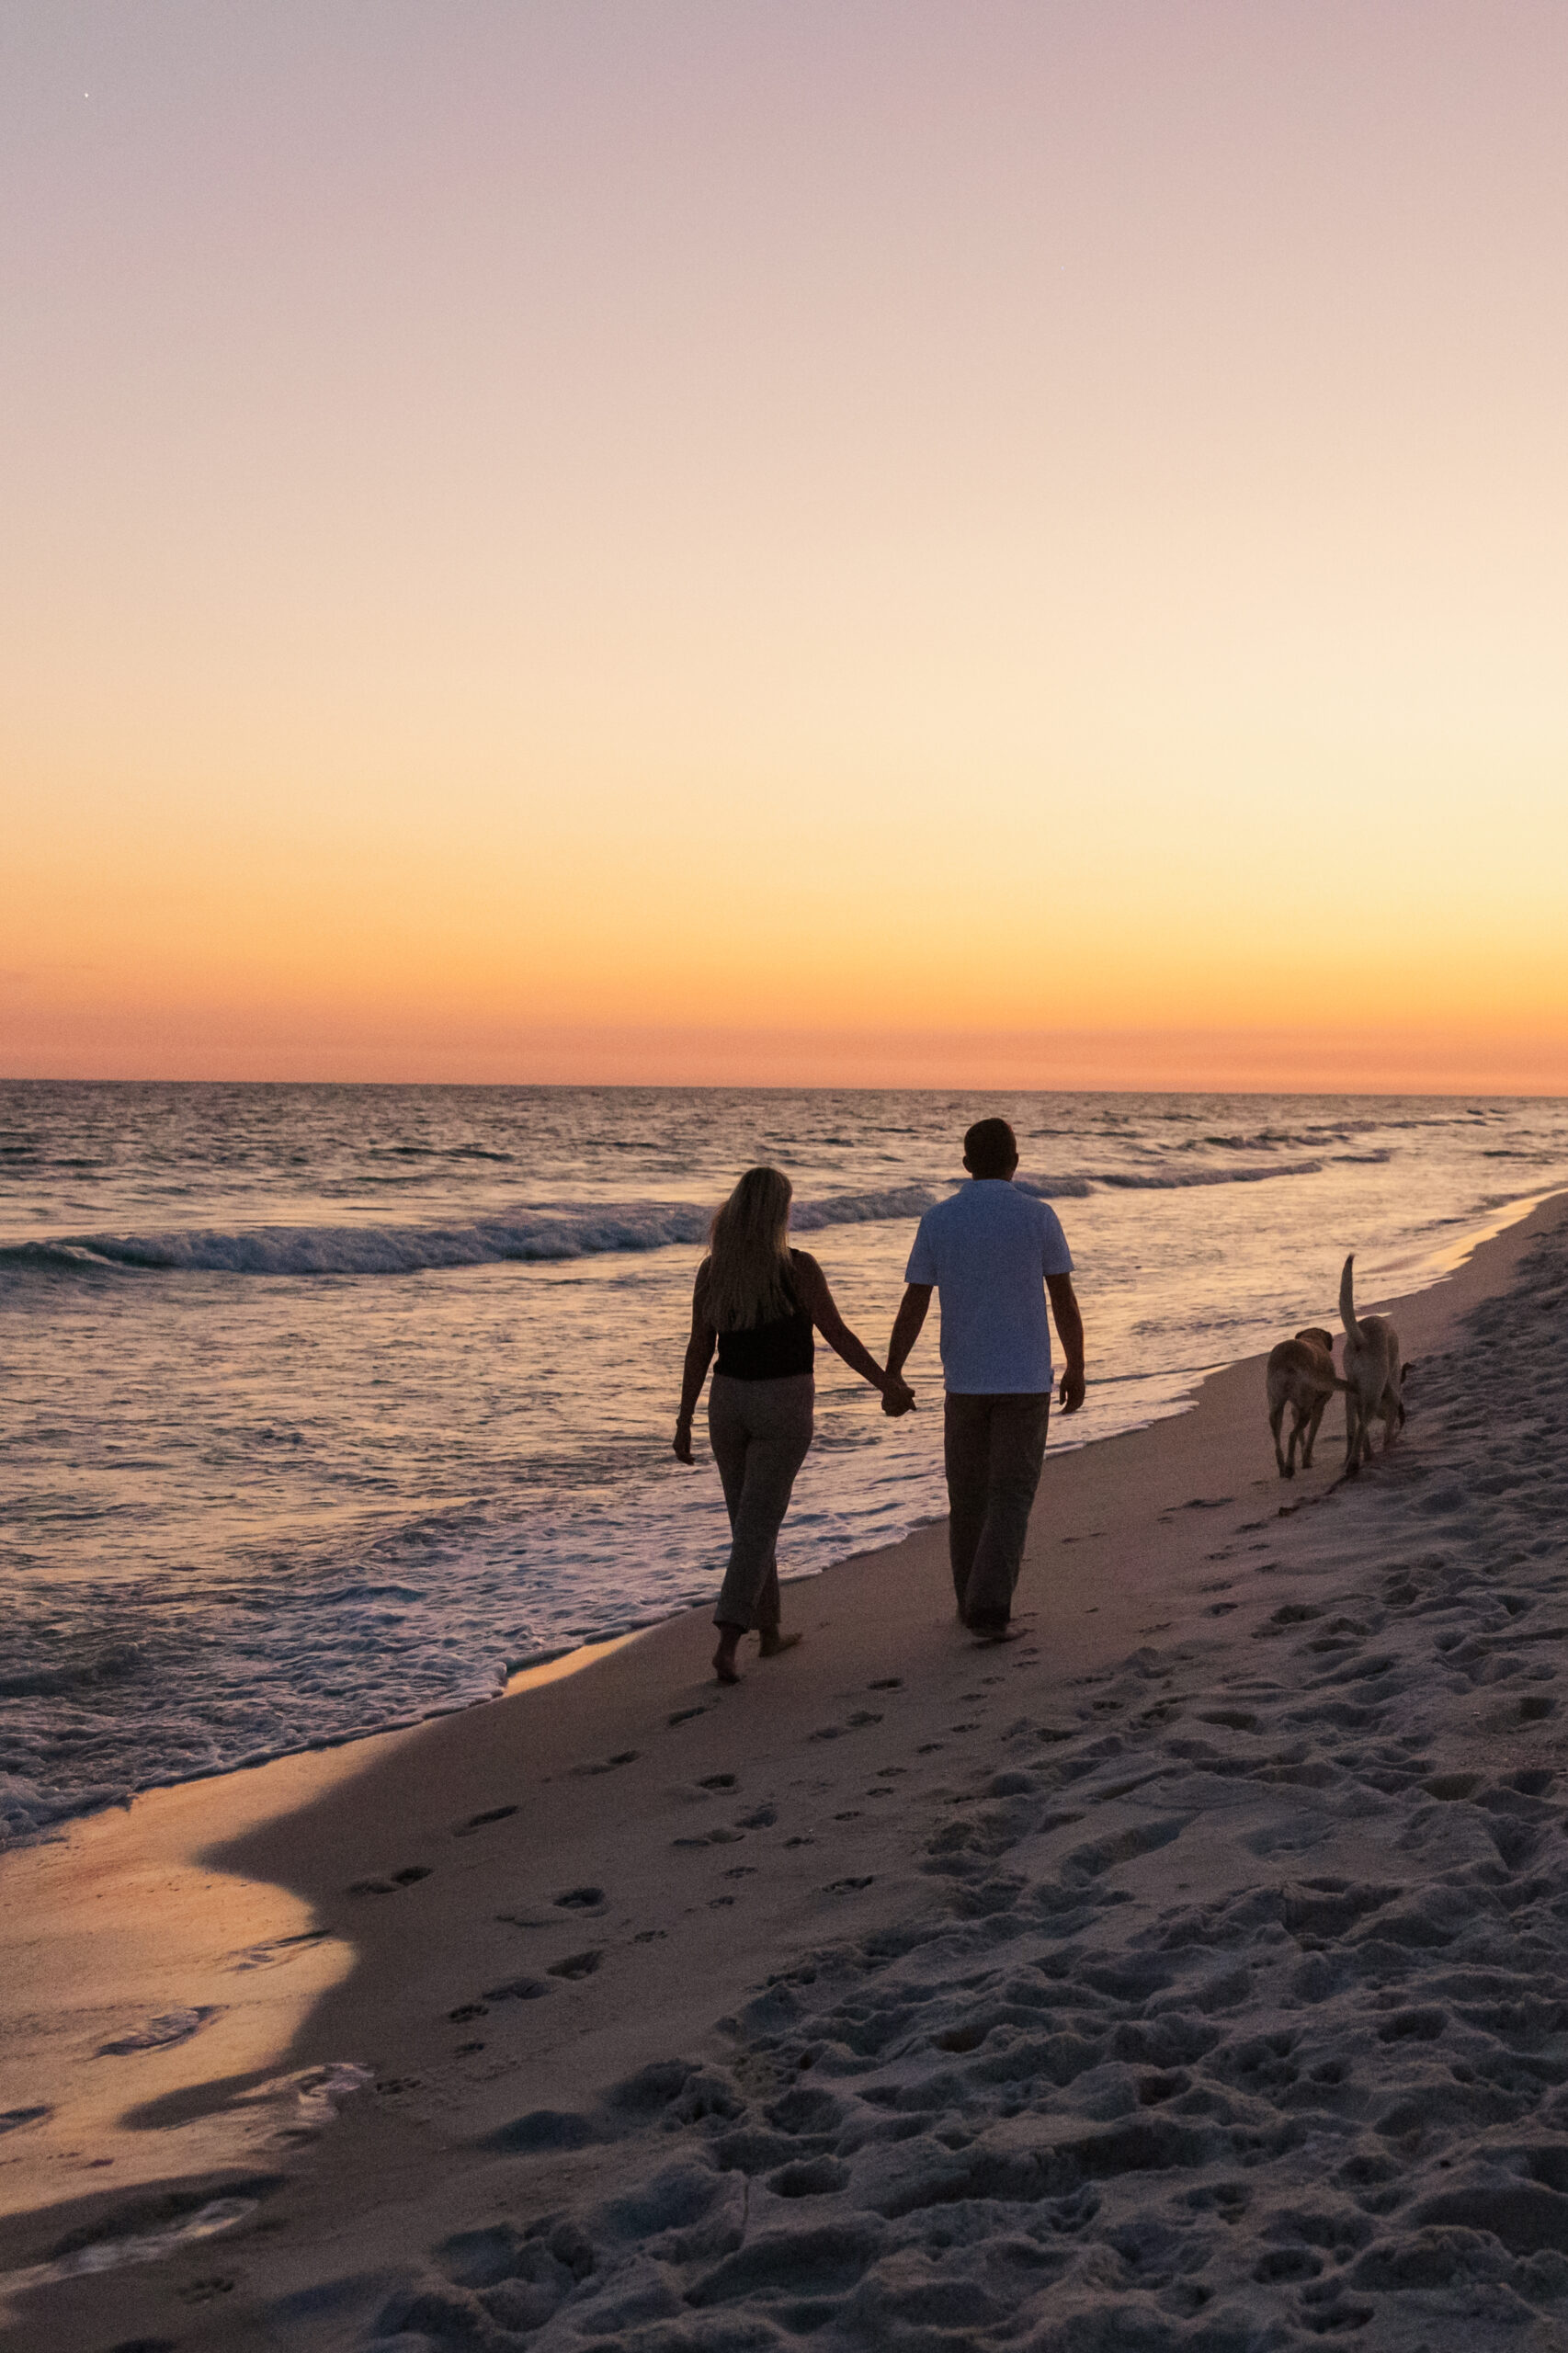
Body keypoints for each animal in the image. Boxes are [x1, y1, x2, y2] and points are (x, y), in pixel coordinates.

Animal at [1261, 1326, 1346, 1468]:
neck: (1312, 1337)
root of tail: (1287, 1360)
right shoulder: (1319, 1405)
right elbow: (1312, 1433)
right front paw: (1307, 1459)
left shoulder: (1296, 1408)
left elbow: (1301, 1433)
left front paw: (1305, 1456)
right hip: (1305, 1402)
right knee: (1292, 1435)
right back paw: (1290, 1465)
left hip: (1275, 1398)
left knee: (1277, 1431)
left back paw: (1283, 1465)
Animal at [1327, 1251, 1403, 1468]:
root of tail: (1362, 1339)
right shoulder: (1392, 1399)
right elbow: (1388, 1432)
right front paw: (1390, 1443)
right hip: (1371, 1396)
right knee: (1361, 1428)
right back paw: (1354, 1463)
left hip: (1352, 1395)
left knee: (1354, 1430)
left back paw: (1358, 1457)